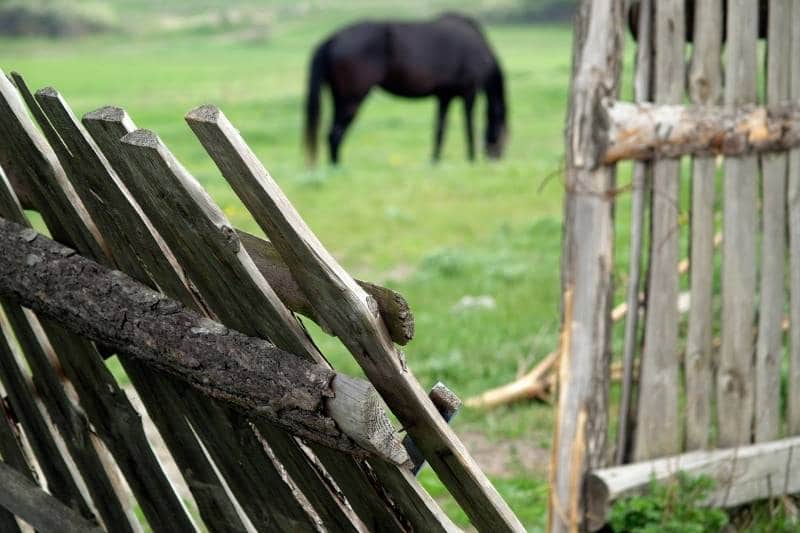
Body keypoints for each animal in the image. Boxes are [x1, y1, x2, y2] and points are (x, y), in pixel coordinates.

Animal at [304, 14, 506, 164]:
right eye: (502, 127)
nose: (497, 157)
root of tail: (332, 39)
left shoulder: (444, 96)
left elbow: (440, 129)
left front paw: (435, 160)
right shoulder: (469, 92)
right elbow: (469, 126)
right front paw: (471, 159)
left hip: (340, 98)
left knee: (333, 134)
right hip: (351, 100)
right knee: (335, 134)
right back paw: (338, 168)